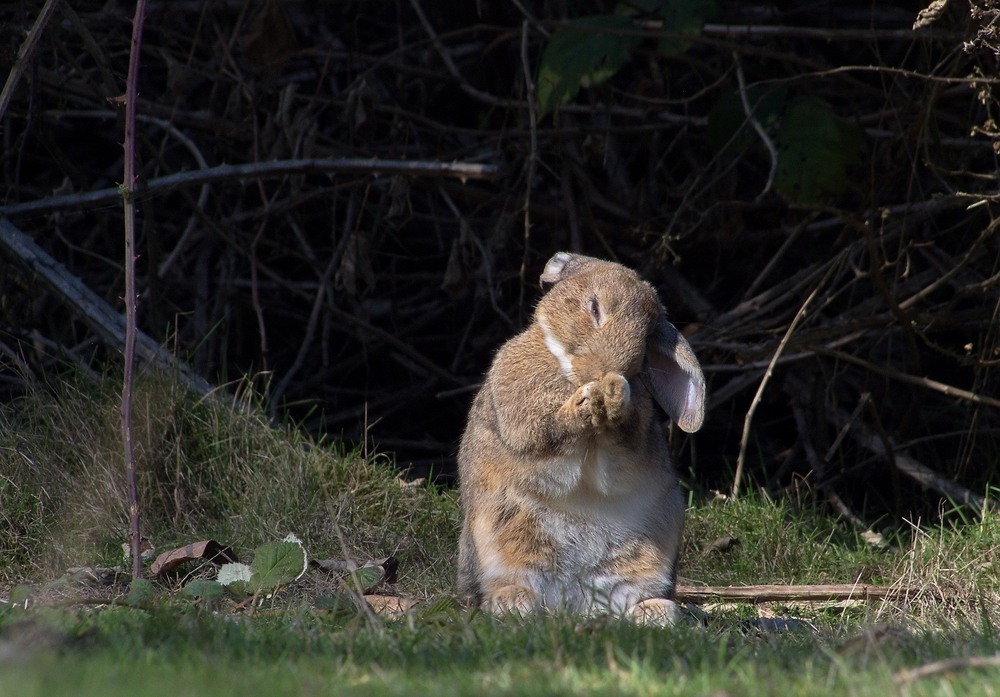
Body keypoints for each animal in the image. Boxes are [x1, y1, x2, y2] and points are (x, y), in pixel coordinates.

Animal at [458, 251, 708, 624]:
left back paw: (655, 612)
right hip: (499, 539)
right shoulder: (521, 401)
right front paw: (587, 403)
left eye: (647, 334)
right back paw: (512, 603)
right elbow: (541, 428)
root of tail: (573, 601)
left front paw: (614, 400)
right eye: (594, 307)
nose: (609, 372)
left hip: (650, 556)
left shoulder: (631, 444)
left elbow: (621, 445)